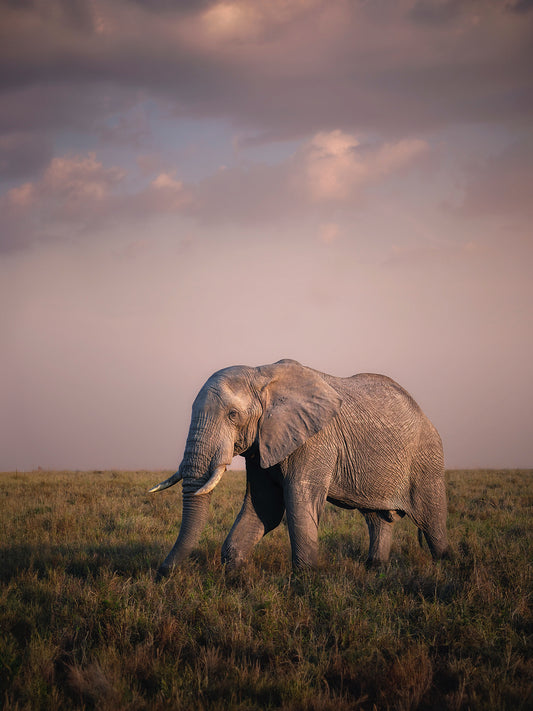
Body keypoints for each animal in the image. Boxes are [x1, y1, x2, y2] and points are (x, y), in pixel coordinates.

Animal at [149, 359, 448, 578]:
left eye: (232, 415)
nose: (162, 573)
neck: (262, 375)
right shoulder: (263, 444)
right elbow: (265, 506)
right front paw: (233, 573)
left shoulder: (315, 439)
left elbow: (298, 500)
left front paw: (304, 579)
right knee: (377, 519)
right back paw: (374, 569)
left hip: (426, 459)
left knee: (431, 518)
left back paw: (445, 565)